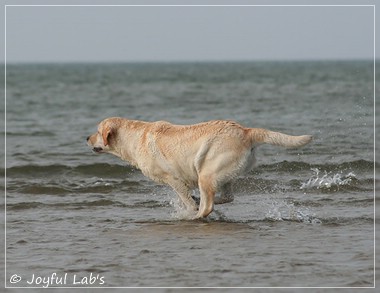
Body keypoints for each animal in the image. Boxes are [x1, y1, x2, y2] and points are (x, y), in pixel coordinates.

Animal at [87, 117, 312, 218]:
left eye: (97, 131)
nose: (86, 138)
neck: (133, 138)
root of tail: (246, 131)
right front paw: (192, 202)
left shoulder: (173, 180)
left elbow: (185, 200)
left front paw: (188, 208)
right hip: (222, 174)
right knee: (226, 197)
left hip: (207, 174)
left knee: (207, 206)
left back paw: (195, 215)